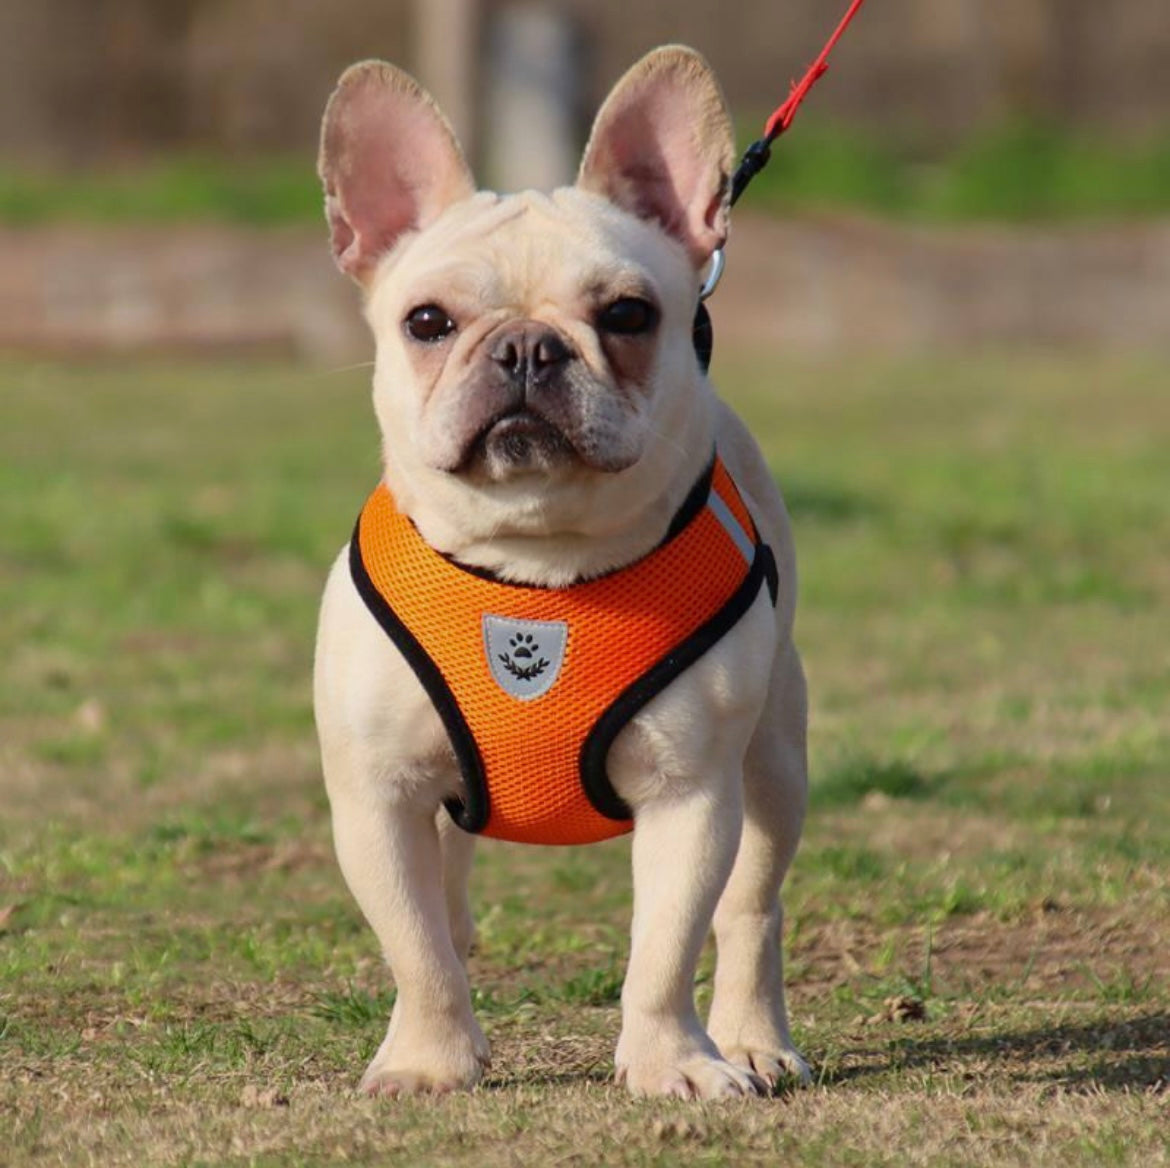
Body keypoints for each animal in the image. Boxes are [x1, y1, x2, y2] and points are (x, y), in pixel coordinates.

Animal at [311, 45, 809, 1100]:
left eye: (627, 314)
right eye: (426, 321)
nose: (528, 347)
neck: (537, 562)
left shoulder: (691, 795)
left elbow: (665, 949)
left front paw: (674, 1062)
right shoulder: (379, 797)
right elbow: (415, 942)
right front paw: (427, 1059)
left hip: (774, 763)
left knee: (753, 909)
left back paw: (752, 1039)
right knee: (448, 907)